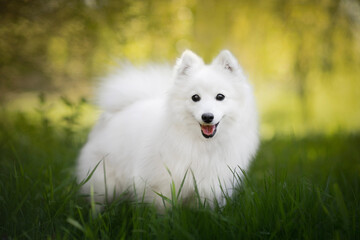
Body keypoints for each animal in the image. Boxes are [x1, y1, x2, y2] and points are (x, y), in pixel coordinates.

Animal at [78, 49, 258, 207]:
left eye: (220, 96)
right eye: (195, 97)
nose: (207, 116)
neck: (203, 145)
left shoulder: (213, 186)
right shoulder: (161, 186)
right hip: (104, 182)